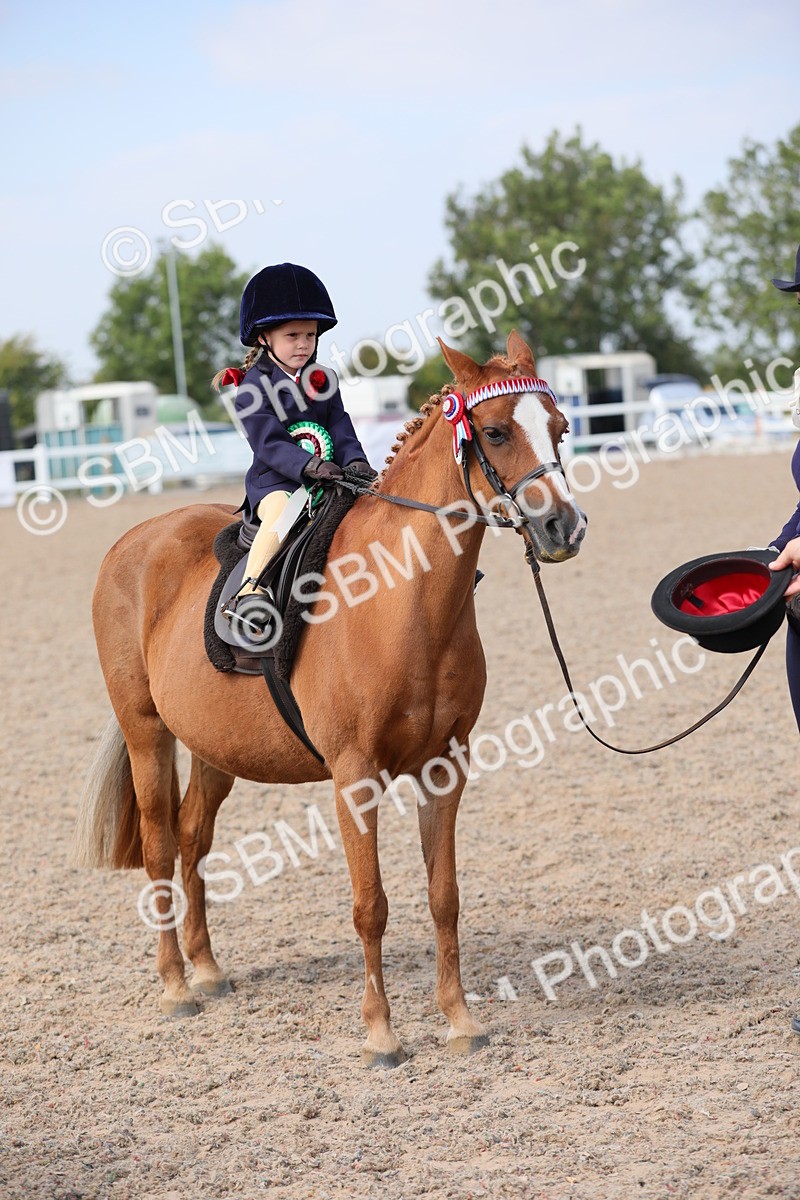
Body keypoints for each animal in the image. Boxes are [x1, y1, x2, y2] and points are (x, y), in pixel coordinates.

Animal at [72, 331, 587, 1066]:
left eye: (562, 428)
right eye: (494, 432)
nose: (563, 530)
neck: (403, 601)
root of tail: (134, 540)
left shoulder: (446, 769)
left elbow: (444, 896)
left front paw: (459, 1020)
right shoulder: (354, 774)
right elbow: (370, 904)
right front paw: (381, 1033)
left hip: (214, 749)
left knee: (194, 838)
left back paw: (207, 968)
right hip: (148, 734)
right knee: (161, 846)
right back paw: (175, 986)